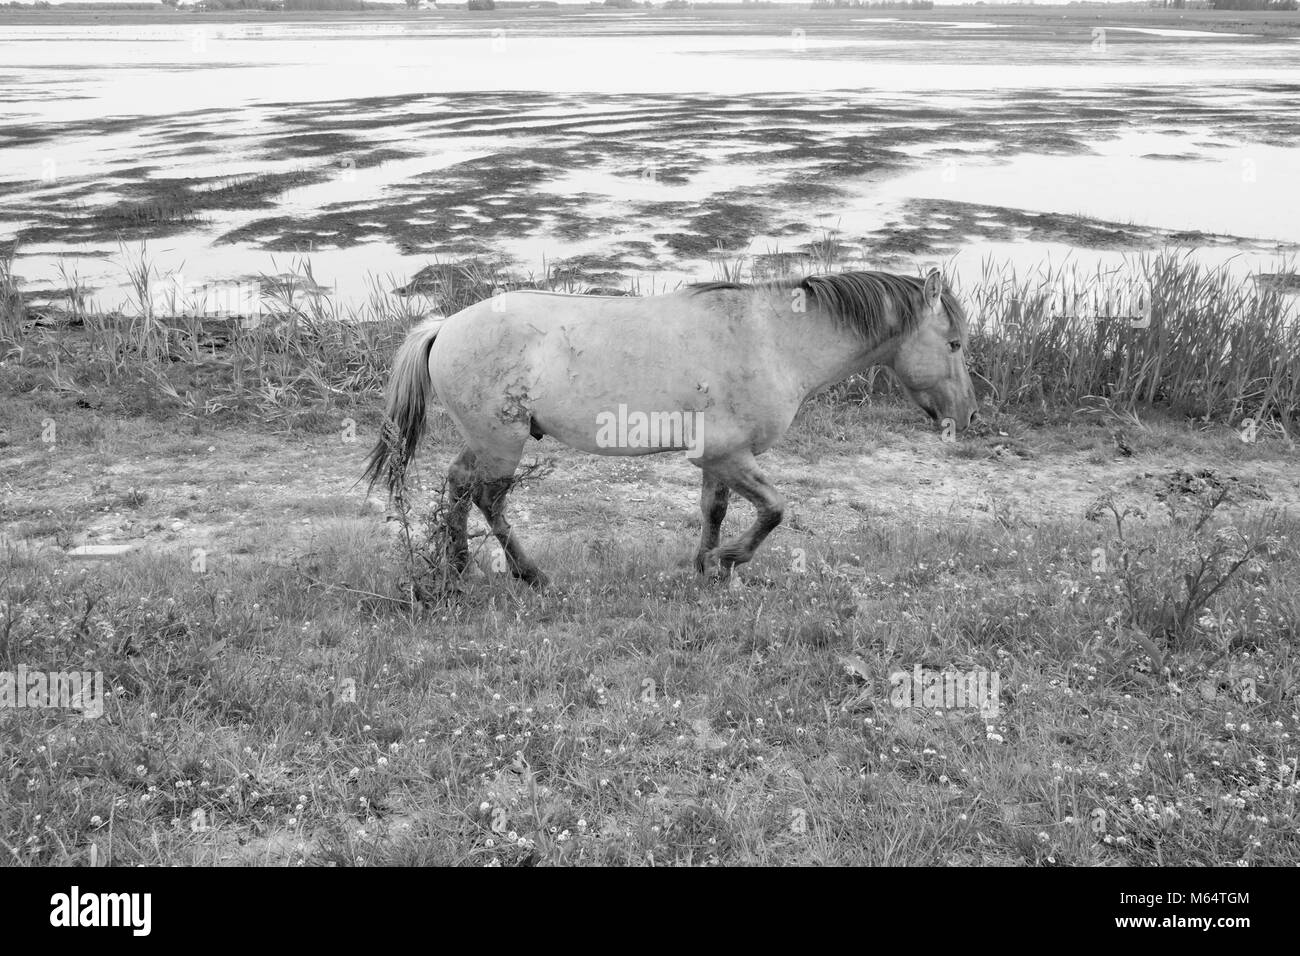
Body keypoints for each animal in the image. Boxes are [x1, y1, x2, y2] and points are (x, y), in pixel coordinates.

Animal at [366, 265, 977, 587]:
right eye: (954, 343)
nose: (969, 416)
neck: (774, 339)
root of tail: (445, 327)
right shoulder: (729, 455)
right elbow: (775, 510)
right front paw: (729, 559)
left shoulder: (719, 458)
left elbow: (716, 509)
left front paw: (705, 565)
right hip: (501, 443)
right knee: (486, 497)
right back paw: (528, 573)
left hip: (485, 441)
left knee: (457, 487)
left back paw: (458, 567)